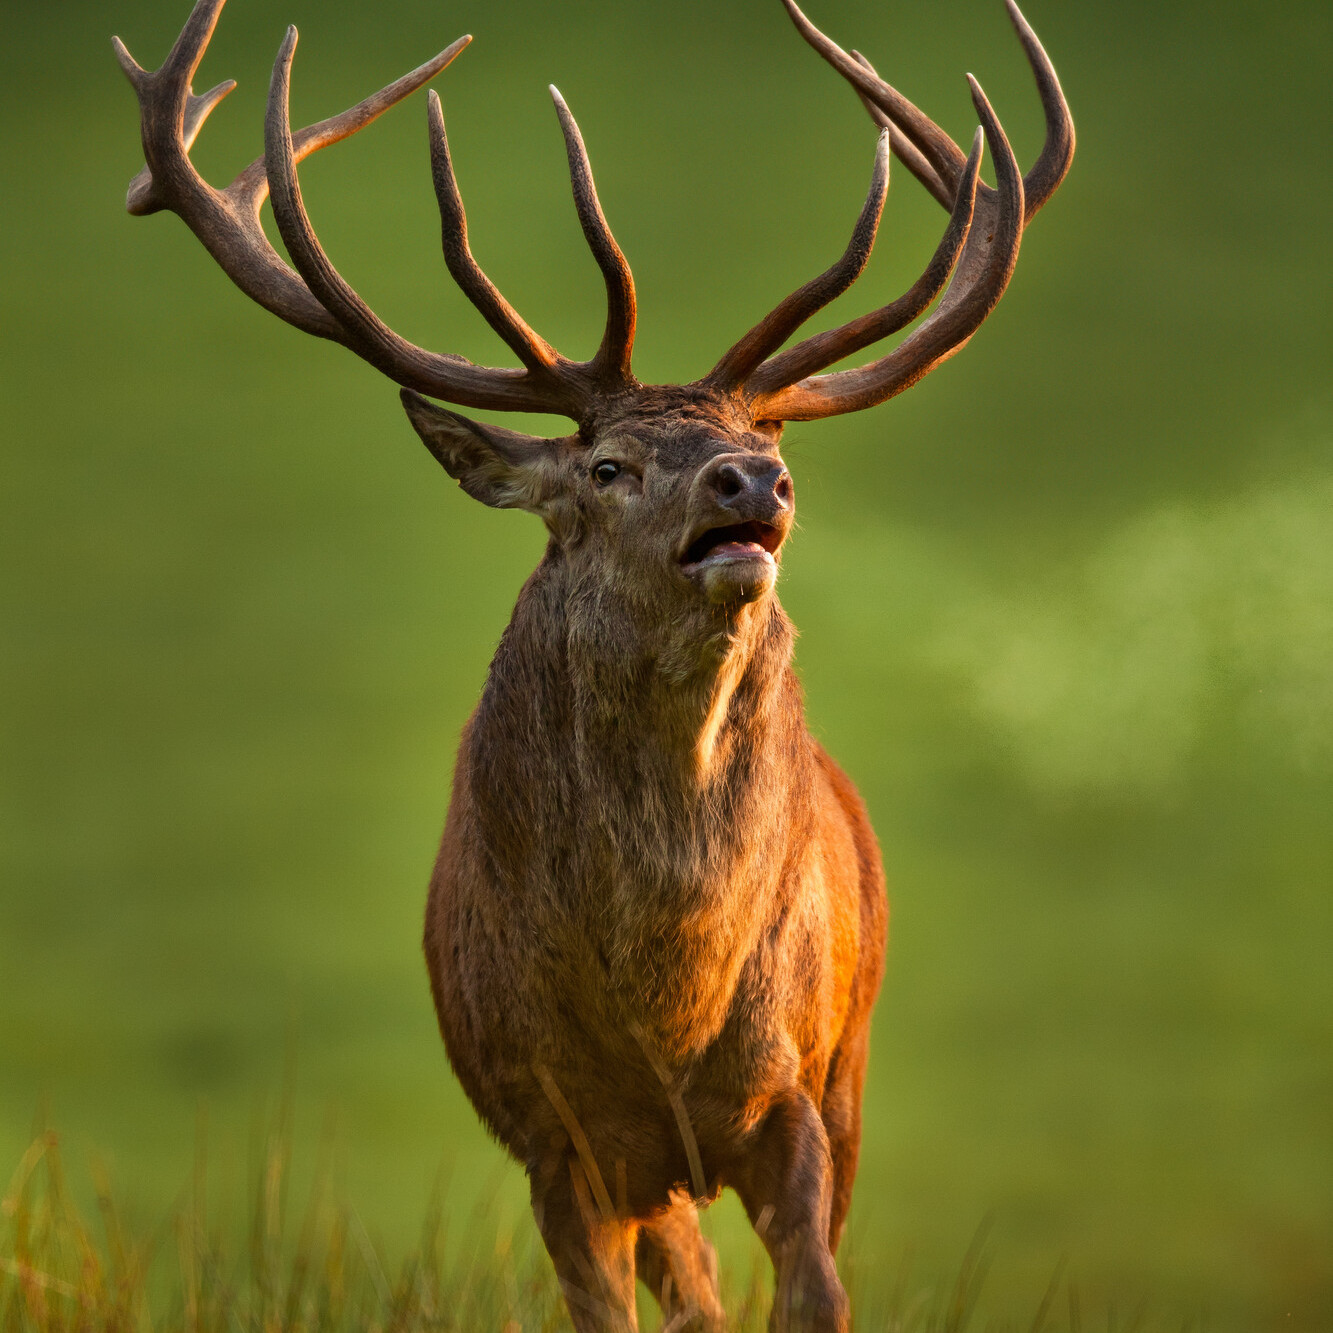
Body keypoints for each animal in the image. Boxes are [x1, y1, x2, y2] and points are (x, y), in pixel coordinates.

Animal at [114, 1, 1072, 1328]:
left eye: (754, 440)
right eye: (608, 466)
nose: (754, 479)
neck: (666, 1008)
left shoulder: (793, 1088)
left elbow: (816, 1291)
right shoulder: (553, 1138)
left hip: (852, 1059)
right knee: (694, 1285)